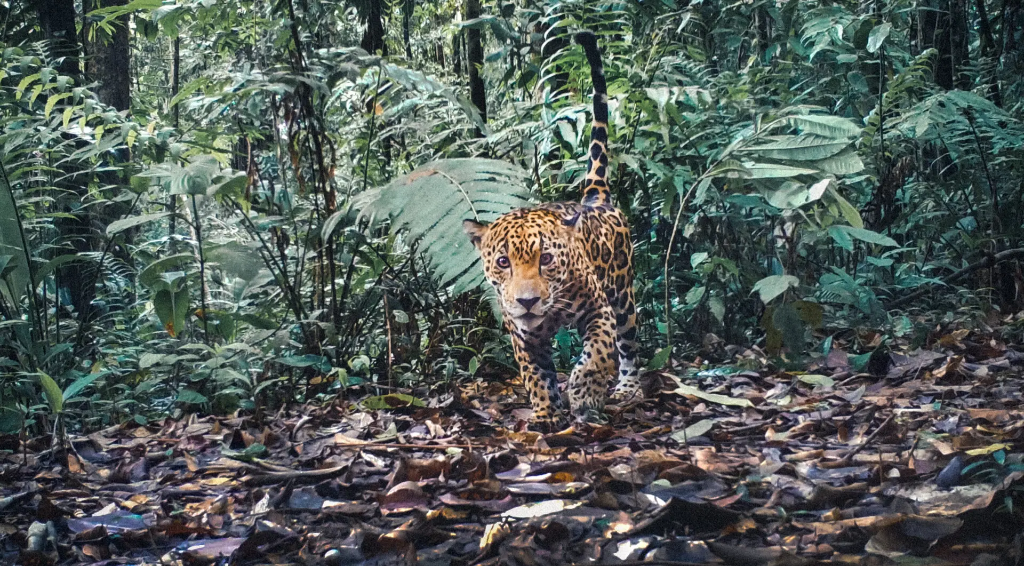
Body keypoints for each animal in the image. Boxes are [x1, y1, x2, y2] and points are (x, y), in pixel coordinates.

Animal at [462, 31, 639, 427]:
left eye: (545, 259)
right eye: (503, 263)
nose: (527, 302)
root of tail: (595, 197)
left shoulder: (599, 310)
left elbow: (598, 353)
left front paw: (583, 392)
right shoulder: (522, 334)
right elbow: (534, 373)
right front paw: (546, 412)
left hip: (623, 297)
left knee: (628, 346)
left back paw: (628, 388)